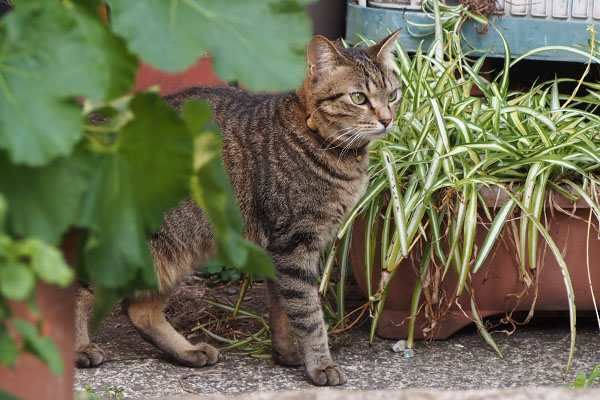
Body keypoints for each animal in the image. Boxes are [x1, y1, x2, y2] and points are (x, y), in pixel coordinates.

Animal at [76, 31, 404, 388]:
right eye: (359, 98)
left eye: (393, 94)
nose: (387, 120)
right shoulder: (294, 244)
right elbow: (308, 313)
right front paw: (320, 364)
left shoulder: (284, 251)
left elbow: (283, 311)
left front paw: (287, 355)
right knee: (77, 291)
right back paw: (80, 348)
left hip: (175, 249)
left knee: (140, 312)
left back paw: (189, 351)